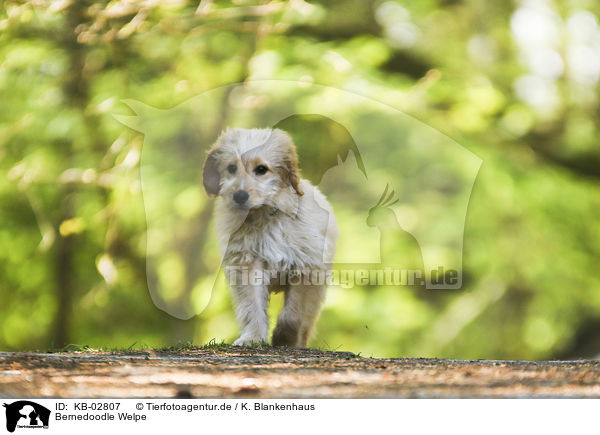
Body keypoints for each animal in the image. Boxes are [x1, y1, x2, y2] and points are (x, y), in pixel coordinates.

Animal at [203, 127, 338, 348]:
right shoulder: (246, 264)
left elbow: (293, 314)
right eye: (231, 167)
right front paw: (252, 338)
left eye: (261, 169)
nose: (239, 196)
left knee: (306, 319)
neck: (265, 215)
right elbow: (253, 306)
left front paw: (284, 338)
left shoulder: (305, 268)